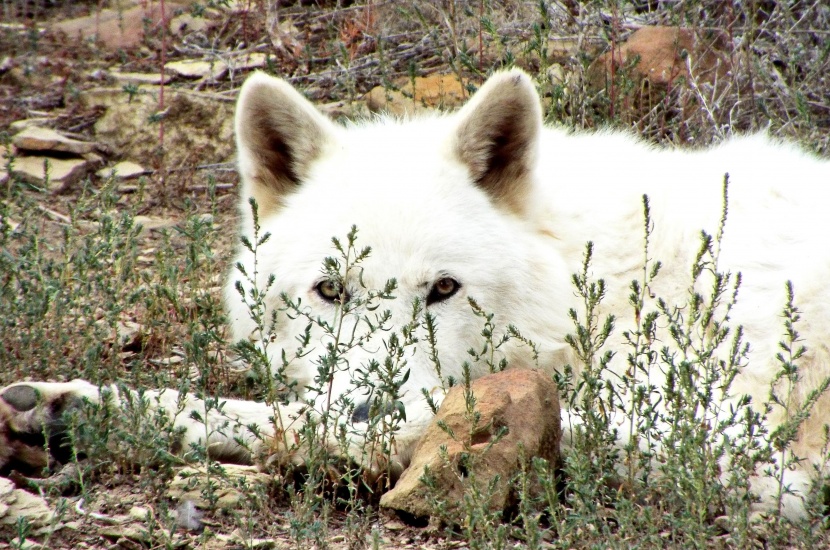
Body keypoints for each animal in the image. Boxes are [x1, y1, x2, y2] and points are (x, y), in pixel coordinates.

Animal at [1, 70, 830, 520]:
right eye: (329, 289)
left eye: (443, 290)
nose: (365, 407)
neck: (604, 280)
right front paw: (78, 405)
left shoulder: (717, 421)